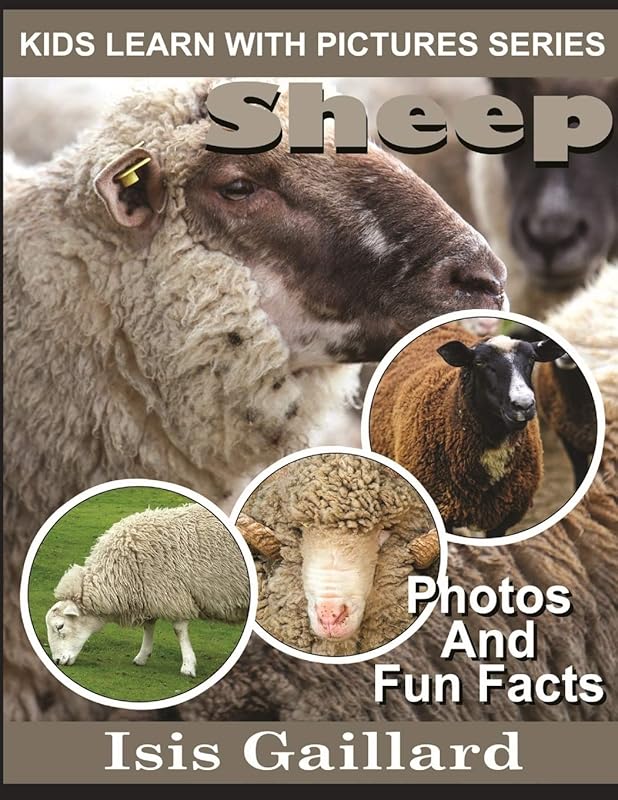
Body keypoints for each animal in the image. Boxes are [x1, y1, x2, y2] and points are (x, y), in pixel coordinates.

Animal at [44, 503, 249, 677]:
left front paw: (188, 666)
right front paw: (142, 656)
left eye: (60, 626)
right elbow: (149, 625)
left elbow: (178, 630)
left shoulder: (172, 592)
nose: (57, 661)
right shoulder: (150, 593)